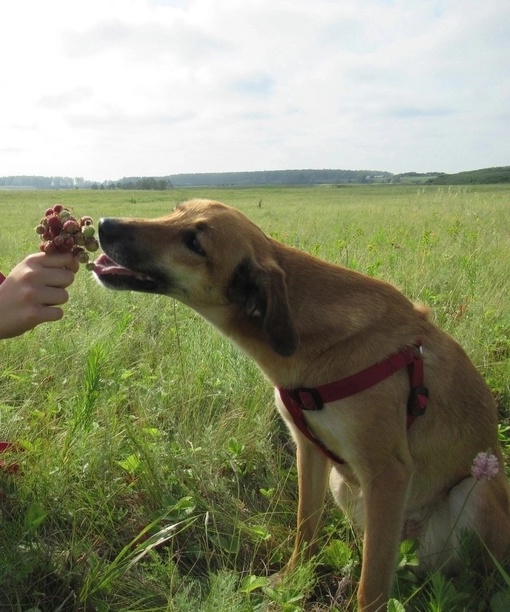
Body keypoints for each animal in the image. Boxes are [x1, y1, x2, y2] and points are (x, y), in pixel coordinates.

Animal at [93, 198, 508, 608]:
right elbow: (305, 527)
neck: (310, 335)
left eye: (194, 243)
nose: (103, 224)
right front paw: (292, 580)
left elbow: (371, 584)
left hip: (472, 490)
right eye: (175, 210)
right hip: (349, 489)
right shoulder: (309, 450)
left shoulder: (386, 472)